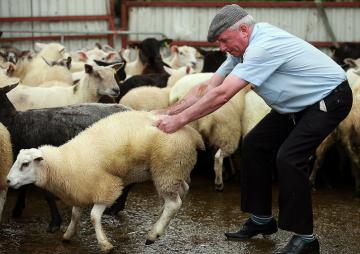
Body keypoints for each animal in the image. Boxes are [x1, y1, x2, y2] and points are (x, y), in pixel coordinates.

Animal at [7, 111, 205, 252]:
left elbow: (94, 216)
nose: (8, 180)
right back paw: (160, 217)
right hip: (174, 171)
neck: (64, 163)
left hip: (168, 168)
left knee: (174, 203)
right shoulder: (81, 189)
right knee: (182, 190)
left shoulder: (106, 187)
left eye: (25, 164)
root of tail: (192, 133)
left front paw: (105, 244)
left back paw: (153, 234)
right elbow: (75, 214)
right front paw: (68, 235)